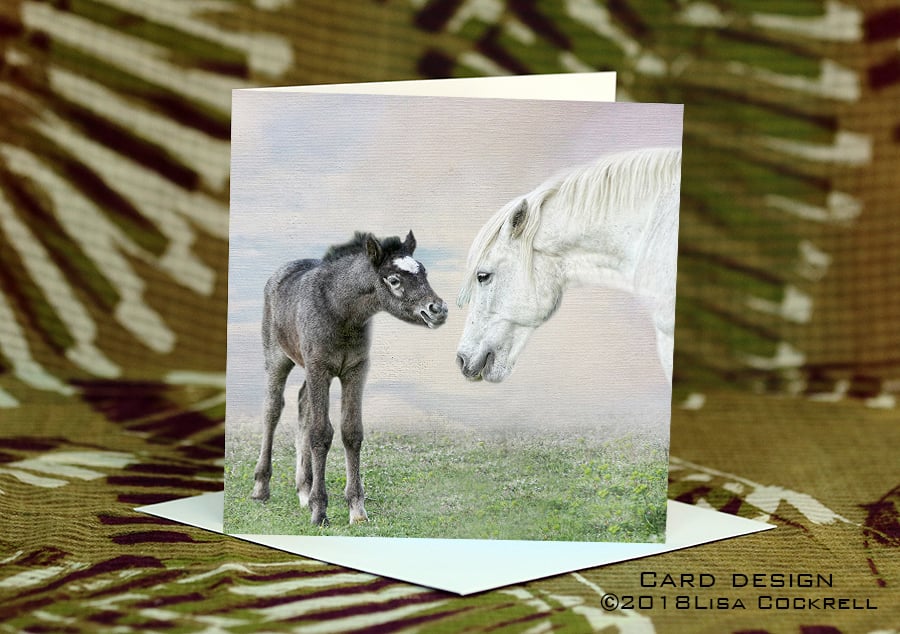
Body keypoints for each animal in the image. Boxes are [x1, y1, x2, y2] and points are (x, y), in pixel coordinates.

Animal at [251, 230, 448, 526]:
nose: (438, 309)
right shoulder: (319, 368)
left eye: (424, 272)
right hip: (277, 357)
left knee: (303, 404)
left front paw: (356, 510)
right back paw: (262, 487)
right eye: (394, 280)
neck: (340, 311)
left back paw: (304, 490)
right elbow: (321, 433)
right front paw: (320, 511)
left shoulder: (355, 370)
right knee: (272, 409)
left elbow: (351, 432)